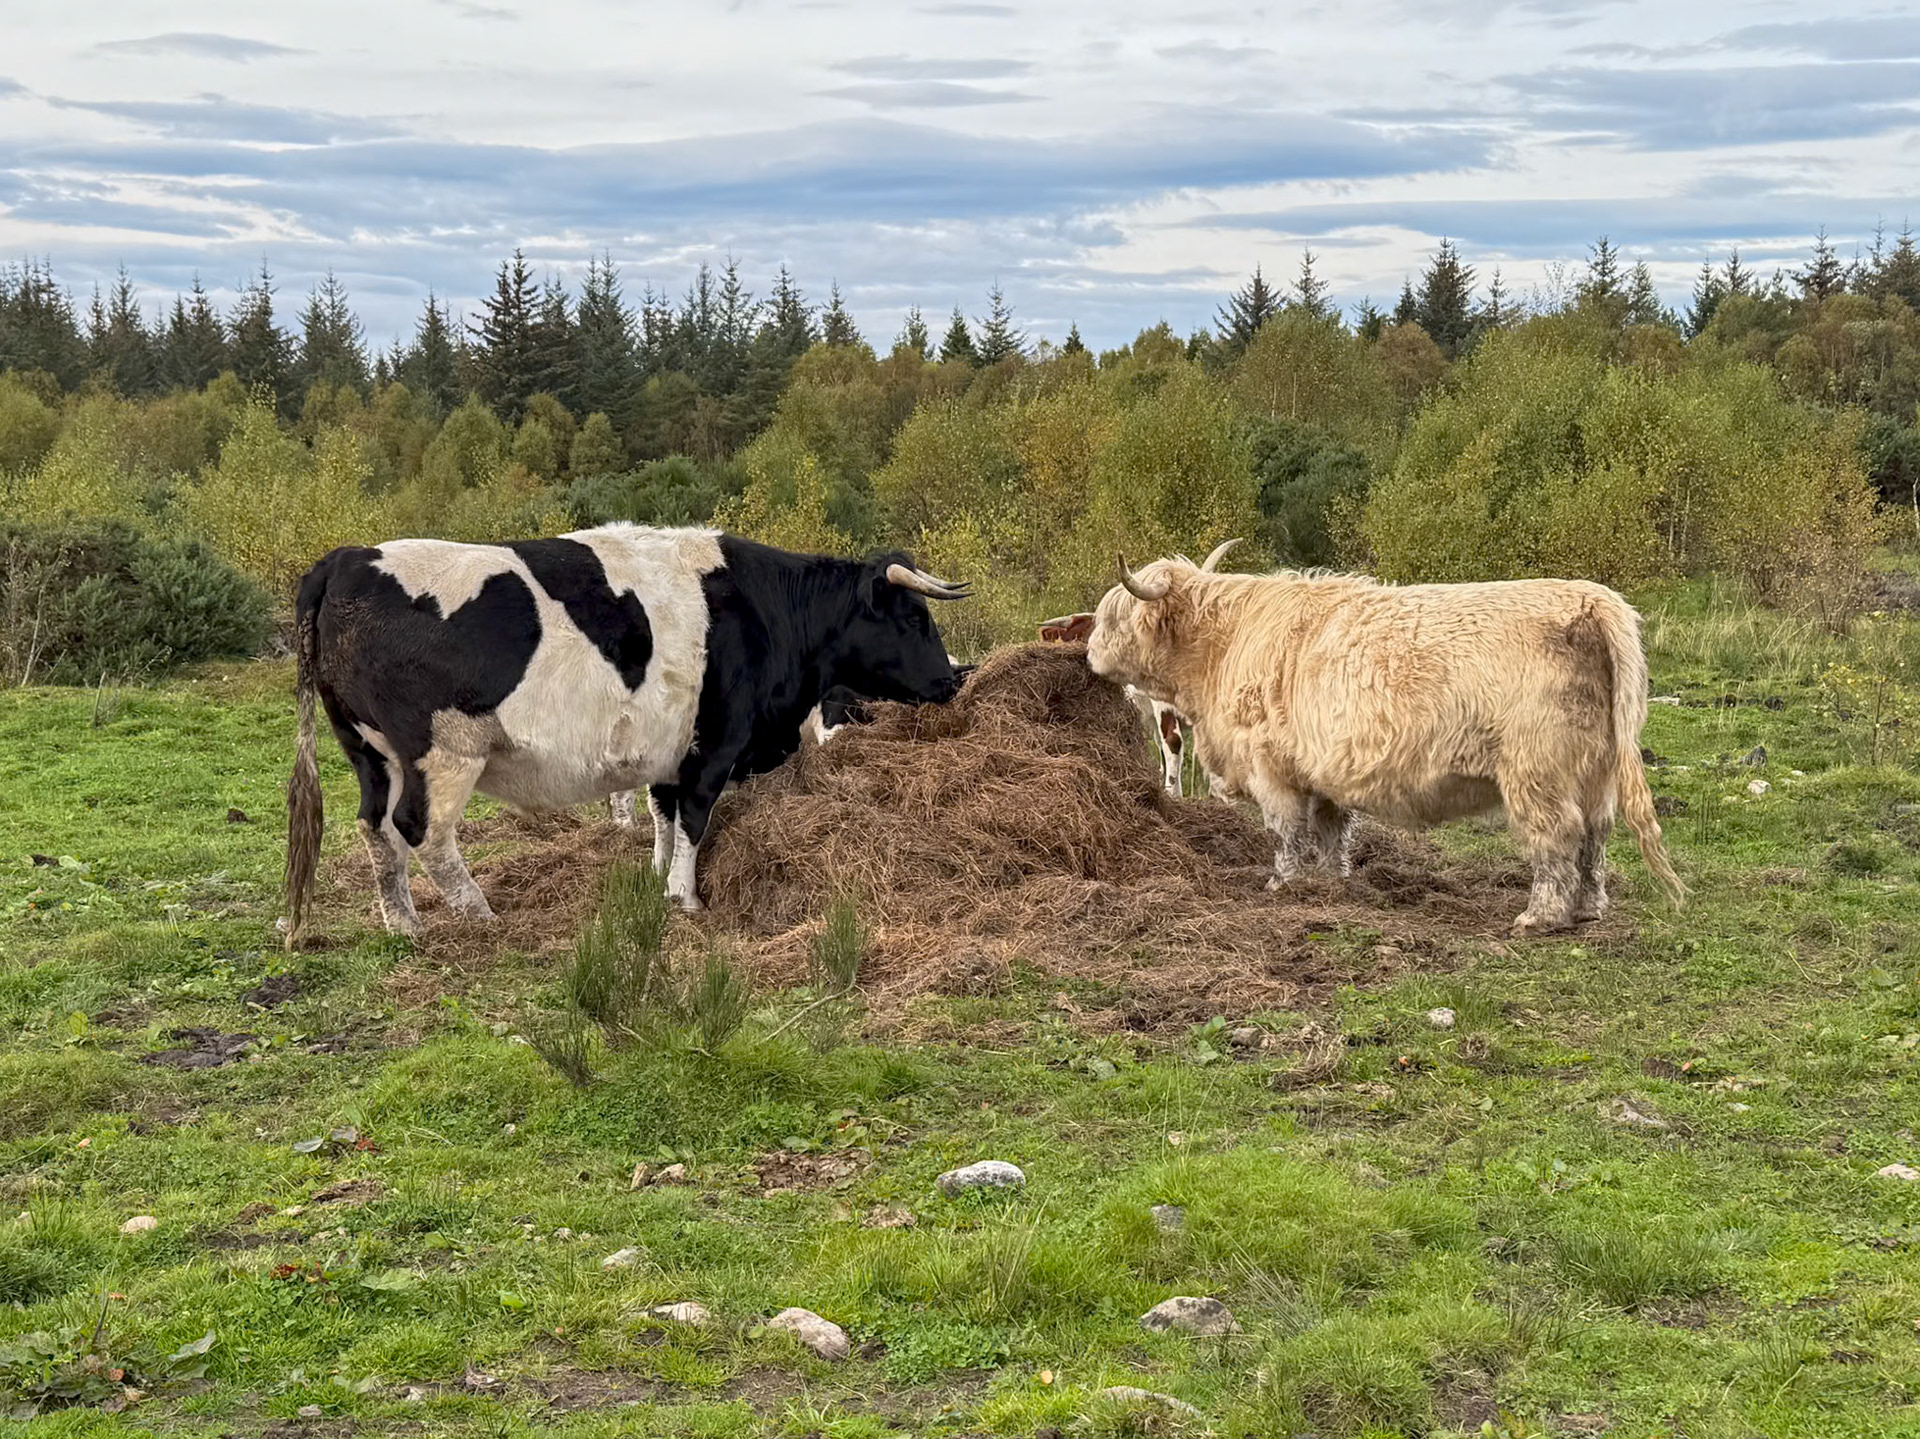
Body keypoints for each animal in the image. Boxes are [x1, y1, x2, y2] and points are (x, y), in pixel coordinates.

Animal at [283, 525, 970, 943]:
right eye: (915, 618)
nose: (952, 679)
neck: (764, 611)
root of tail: (345, 560)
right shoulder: (714, 746)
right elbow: (694, 818)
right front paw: (685, 898)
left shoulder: (666, 750)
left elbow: (663, 814)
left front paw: (657, 876)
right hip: (444, 752)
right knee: (420, 831)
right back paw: (478, 912)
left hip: (371, 753)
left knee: (375, 829)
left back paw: (403, 924)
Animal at [1083, 543, 1685, 935]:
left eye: (1113, 616)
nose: (1088, 654)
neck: (1222, 646)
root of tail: (1590, 598)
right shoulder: (1320, 768)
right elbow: (1329, 830)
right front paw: (1331, 882)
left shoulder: (1270, 766)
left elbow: (1286, 832)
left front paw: (1283, 884)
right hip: (1595, 769)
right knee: (1595, 837)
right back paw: (1588, 909)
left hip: (1537, 768)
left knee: (1558, 837)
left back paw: (1542, 916)